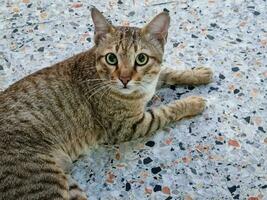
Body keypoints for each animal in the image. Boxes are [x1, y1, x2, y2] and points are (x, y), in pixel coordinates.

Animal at [0, 7, 214, 200]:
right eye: (111, 58)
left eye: (141, 58)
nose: (124, 79)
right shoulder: (129, 126)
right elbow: (166, 111)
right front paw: (193, 102)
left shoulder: (150, 83)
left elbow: (167, 71)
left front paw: (199, 73)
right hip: (45, 182)